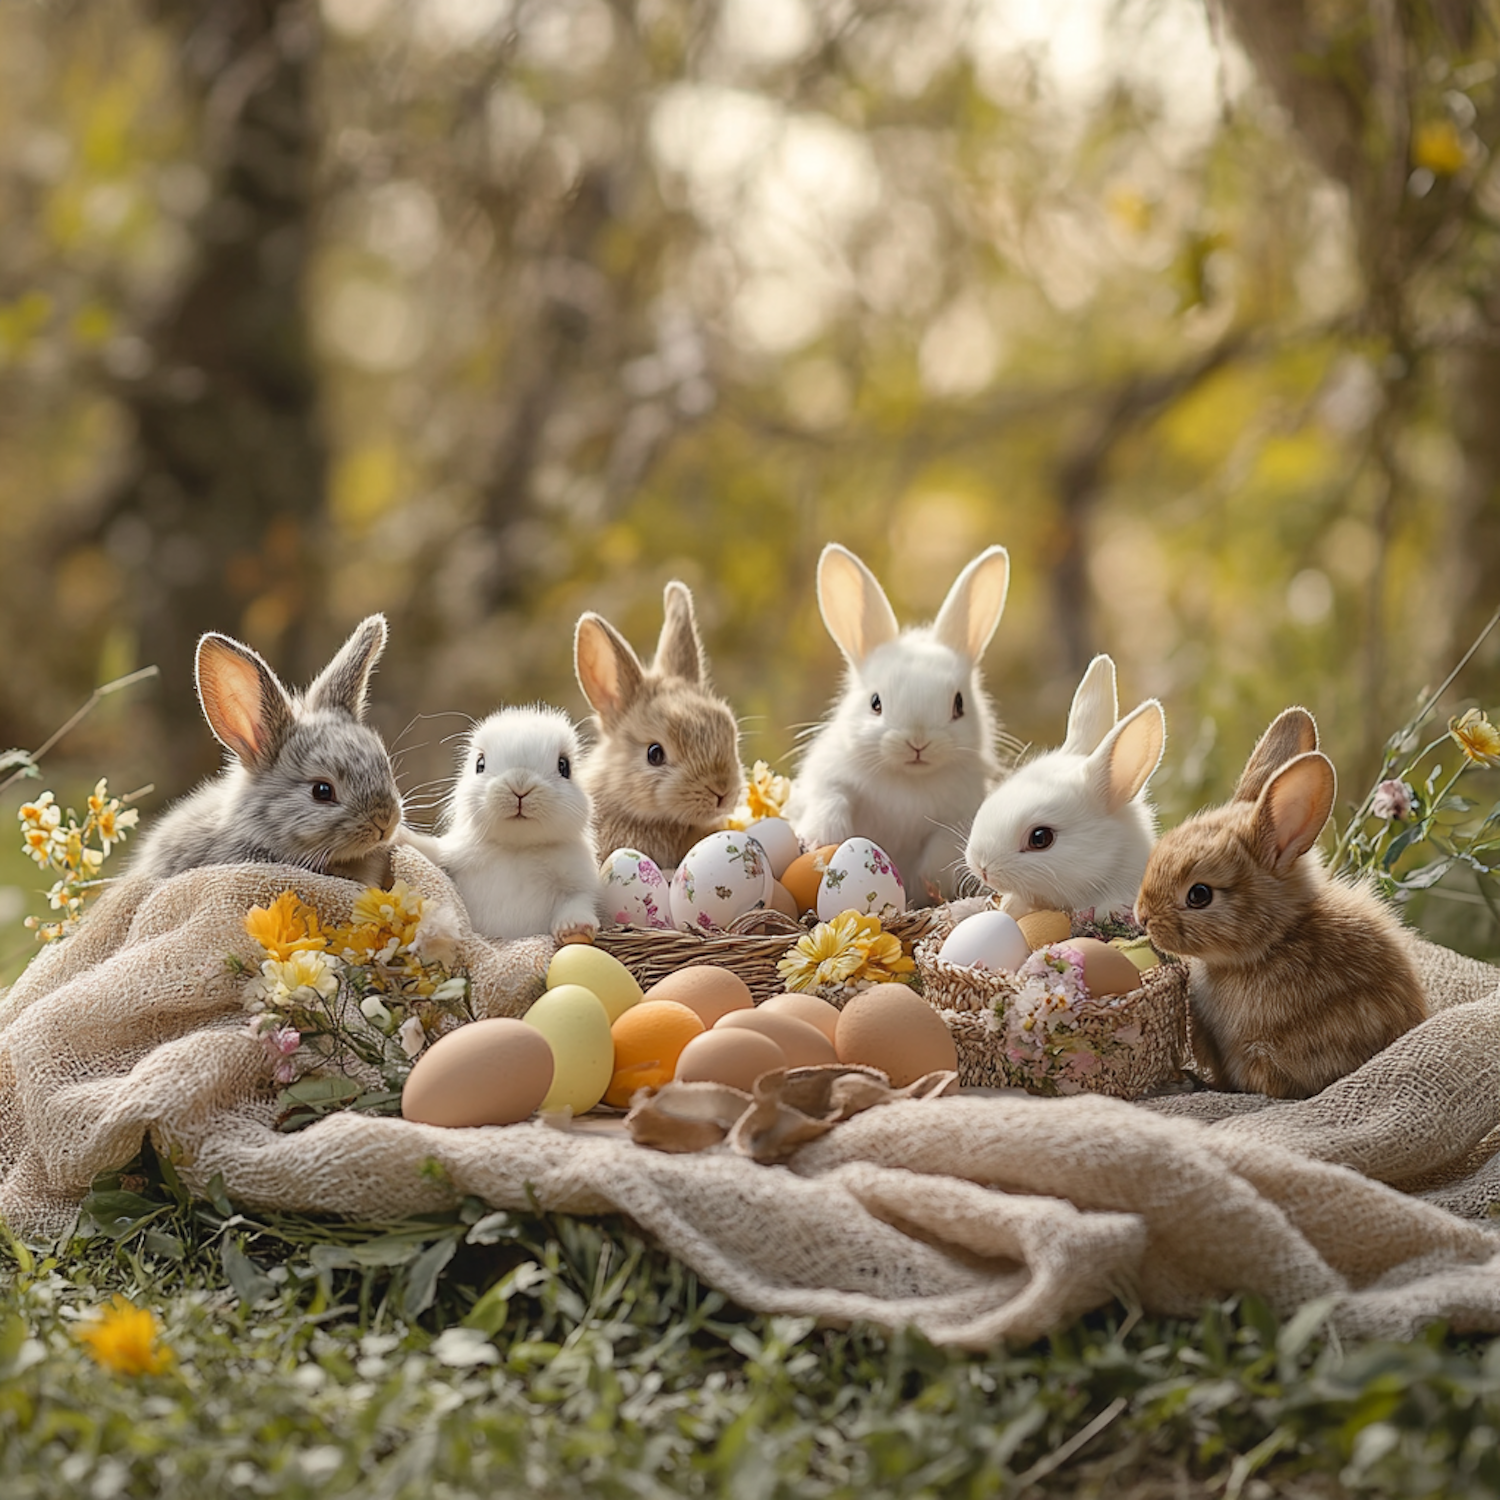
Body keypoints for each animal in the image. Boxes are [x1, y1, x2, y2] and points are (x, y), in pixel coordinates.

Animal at [408, 705, 601, 944]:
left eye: (564, 766)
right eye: (480, 764)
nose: (520, 784)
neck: (516, 848)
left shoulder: (579, 883)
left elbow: (578, 903)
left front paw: (575, 927)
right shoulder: (451, 853)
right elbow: (429, 850)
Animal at [783, 541, 1010, 903]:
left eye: (959, 704)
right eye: (875, 703)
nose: (918, 742)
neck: (908, 779)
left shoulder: (958, 818)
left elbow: (941, 848)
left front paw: (929, 880)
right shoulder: (828, 779)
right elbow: (831, 800)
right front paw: (820, 841)